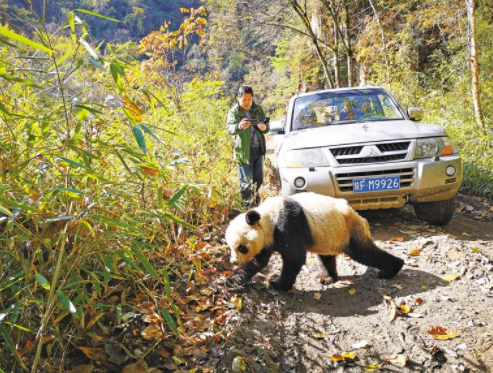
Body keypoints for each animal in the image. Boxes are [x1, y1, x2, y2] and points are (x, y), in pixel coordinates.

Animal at [225, 192, 402, 290]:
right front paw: (232, 280)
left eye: (241, 248)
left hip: (349, 230)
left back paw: (390, 269)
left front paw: (277, 284)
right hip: (329, 235)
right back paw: (328, 278)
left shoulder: (287, 226)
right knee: (326, 257)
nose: (233, 261)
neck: (268, 217)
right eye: (230, 247)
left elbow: (294, 258)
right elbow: (258, 261)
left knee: (364, 253)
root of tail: (360, 217)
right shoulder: (268, 238)